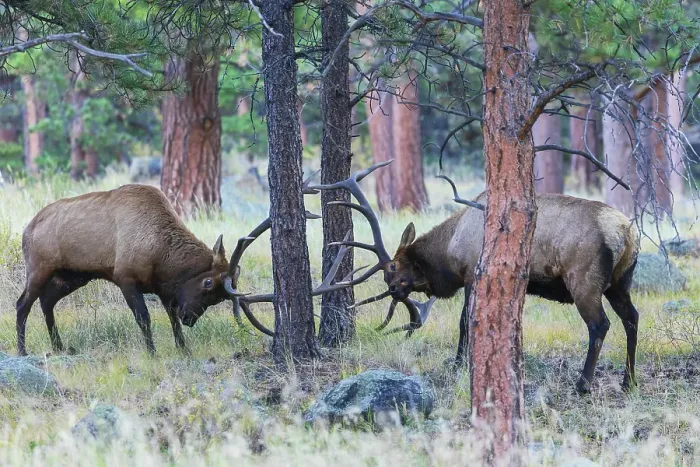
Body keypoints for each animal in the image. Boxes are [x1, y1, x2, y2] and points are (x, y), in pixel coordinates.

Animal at [311, 161, 641, 394]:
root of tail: (626, 233)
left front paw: (459, 363)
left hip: (584, 280)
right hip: (620, 283)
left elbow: (465, 321)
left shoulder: (472, 273)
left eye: (392, 267)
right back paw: (629, 381)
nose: (393, 290)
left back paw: (583, 384)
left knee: (600, 325)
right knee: (632, 318)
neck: (450, 250)